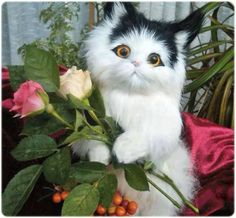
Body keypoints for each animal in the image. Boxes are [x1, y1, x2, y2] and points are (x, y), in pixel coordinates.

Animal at [73, 2, 204, 216]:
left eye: (154, 59)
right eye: (123, 52)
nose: (135, 63)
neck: (130, 94)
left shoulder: (166, 133)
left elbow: (147, 135)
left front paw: (122, 150)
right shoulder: (89, 119)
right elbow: (91, 138)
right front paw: (101, 158)